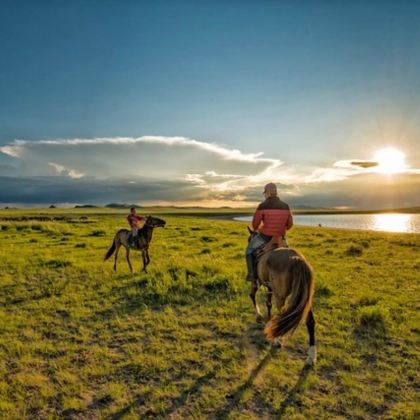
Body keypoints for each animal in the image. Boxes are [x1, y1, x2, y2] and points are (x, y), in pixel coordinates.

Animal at [248, 226, 316, 364]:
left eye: (249, 239)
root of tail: (296, 259)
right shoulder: (270, 287)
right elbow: (268, 303)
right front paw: (268, 318)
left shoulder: (256, 282)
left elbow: (252, 295)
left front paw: (259, 316)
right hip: (306, 299)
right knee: (310, 321)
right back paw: (311, 356)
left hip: (280, 297)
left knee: (282, 316)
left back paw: (277, 340)